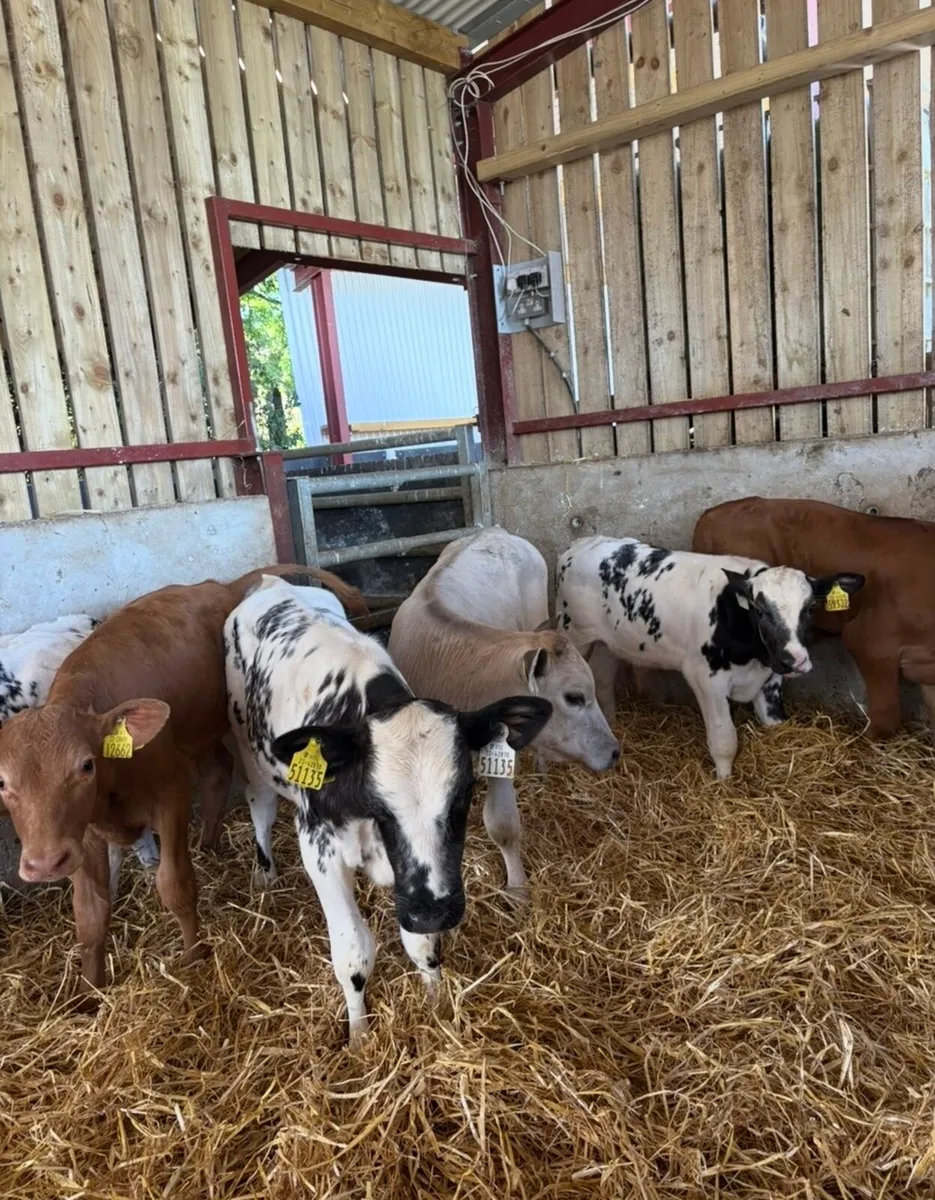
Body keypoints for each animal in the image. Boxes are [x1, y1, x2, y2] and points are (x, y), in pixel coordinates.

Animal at [224, 575, 550, 1046]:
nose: (433, 911)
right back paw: (264, 872)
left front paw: (434, 1002)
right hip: (249, 752)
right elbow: (353, 953)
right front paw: (359, 1037)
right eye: (380, 806)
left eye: (465, 794)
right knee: (261, 808)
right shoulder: (319, 850)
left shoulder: (415, 878)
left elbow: (423, 944)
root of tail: (272, 581)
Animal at [555, 535, 864, 779]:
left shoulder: (771, 678)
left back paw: (611, 723)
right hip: (573, 633)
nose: (795, 660)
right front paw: (724, 784)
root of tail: (581, 543)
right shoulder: (706, 678)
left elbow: (774, 722)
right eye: (760, 610)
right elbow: (724, 741)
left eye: (810, 608)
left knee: (601, 676)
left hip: (611, 642)